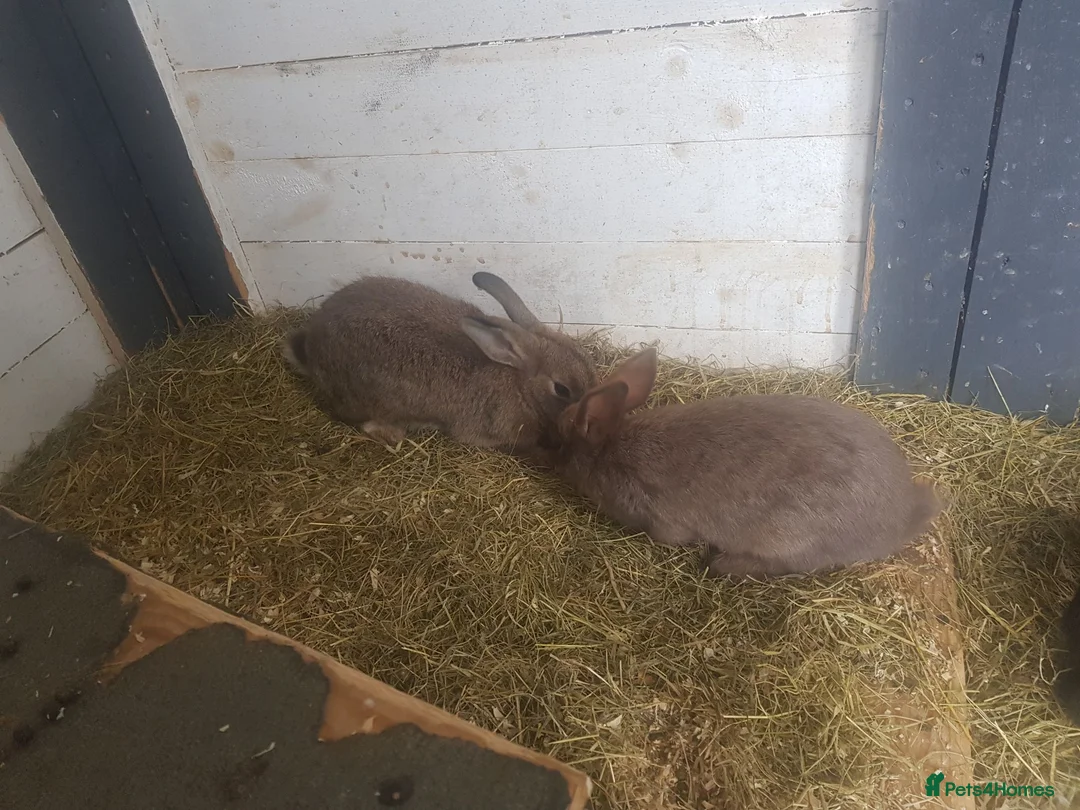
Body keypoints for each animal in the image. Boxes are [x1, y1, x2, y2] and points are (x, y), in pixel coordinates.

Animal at [538, 346, 942, 579]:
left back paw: (721, 565)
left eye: (559, 441)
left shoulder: (663, 522)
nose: (542, 451)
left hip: (787, 535)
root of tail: (901, 519)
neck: (612, 448)